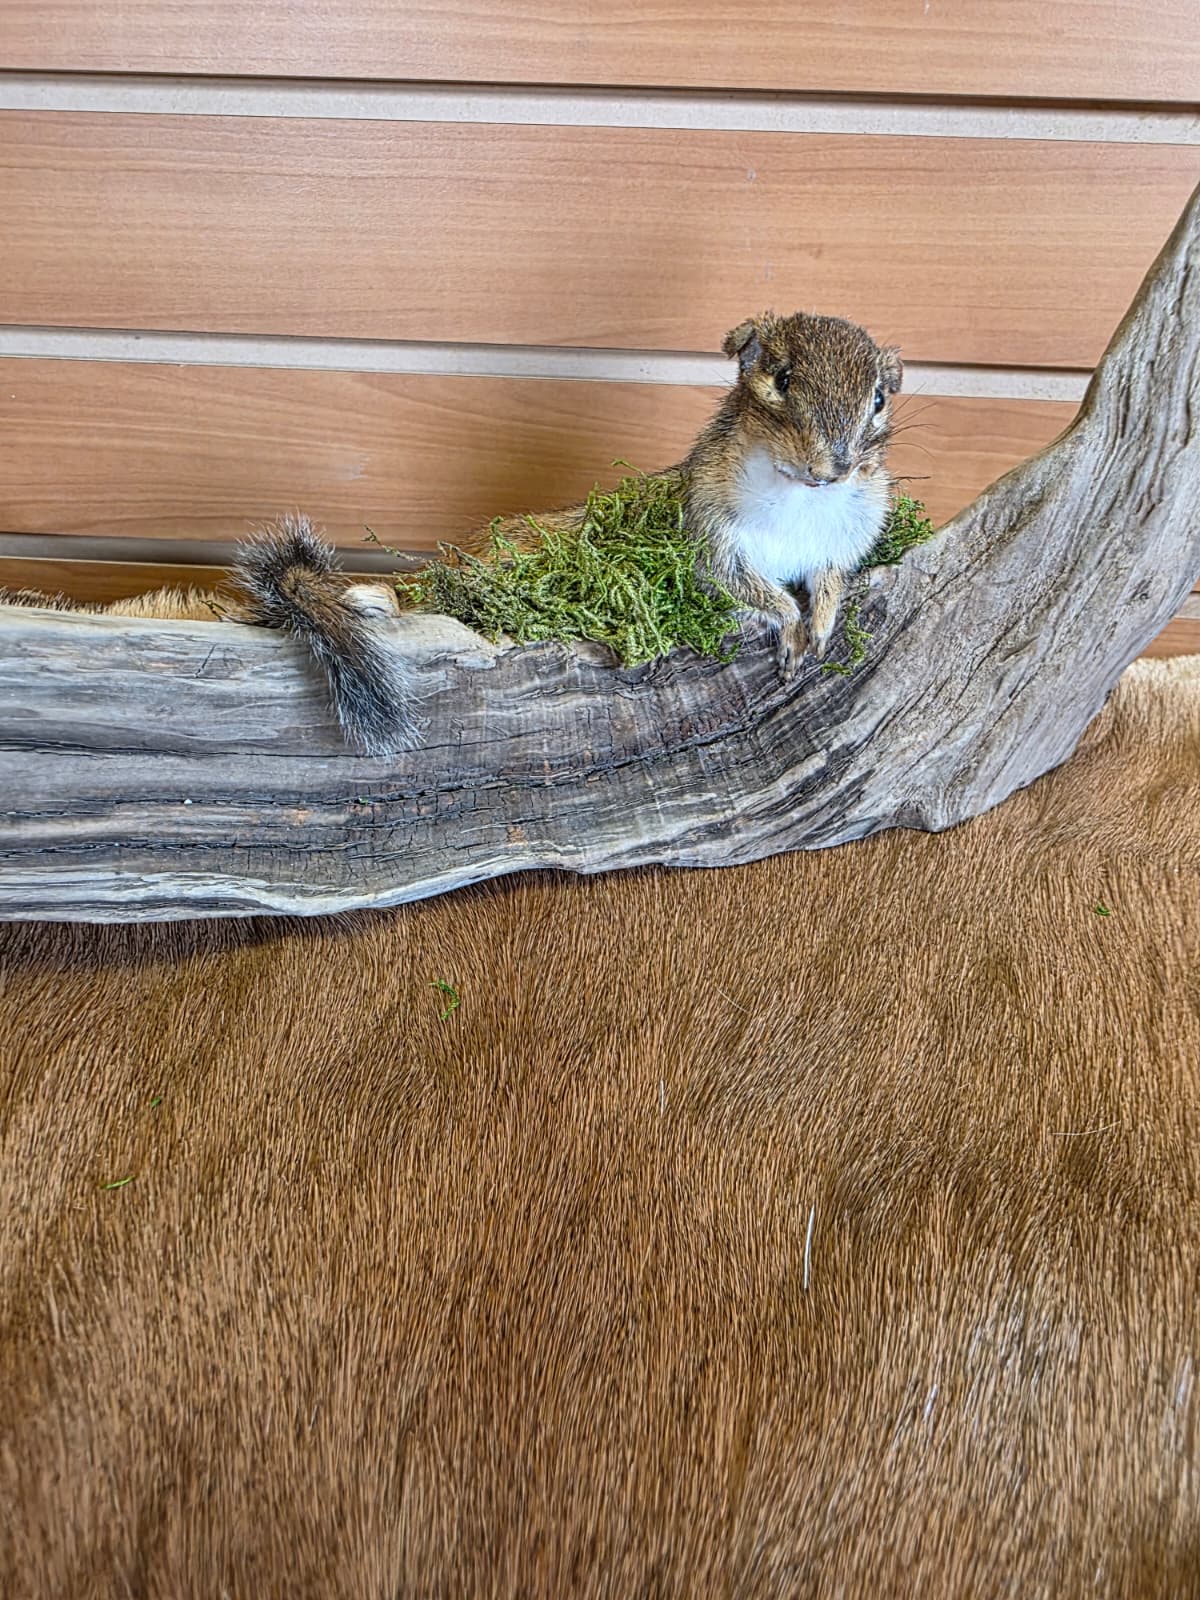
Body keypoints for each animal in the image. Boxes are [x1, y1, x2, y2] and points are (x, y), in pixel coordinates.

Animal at [468, 310, 902, 677]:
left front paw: (823, 626)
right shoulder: (713, 537)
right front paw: (795, 630)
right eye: (782, 379)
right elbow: (751, 589)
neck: (800, 494)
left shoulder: (842, 541)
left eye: (879, 399)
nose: (832, 470)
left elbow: (830, 580)